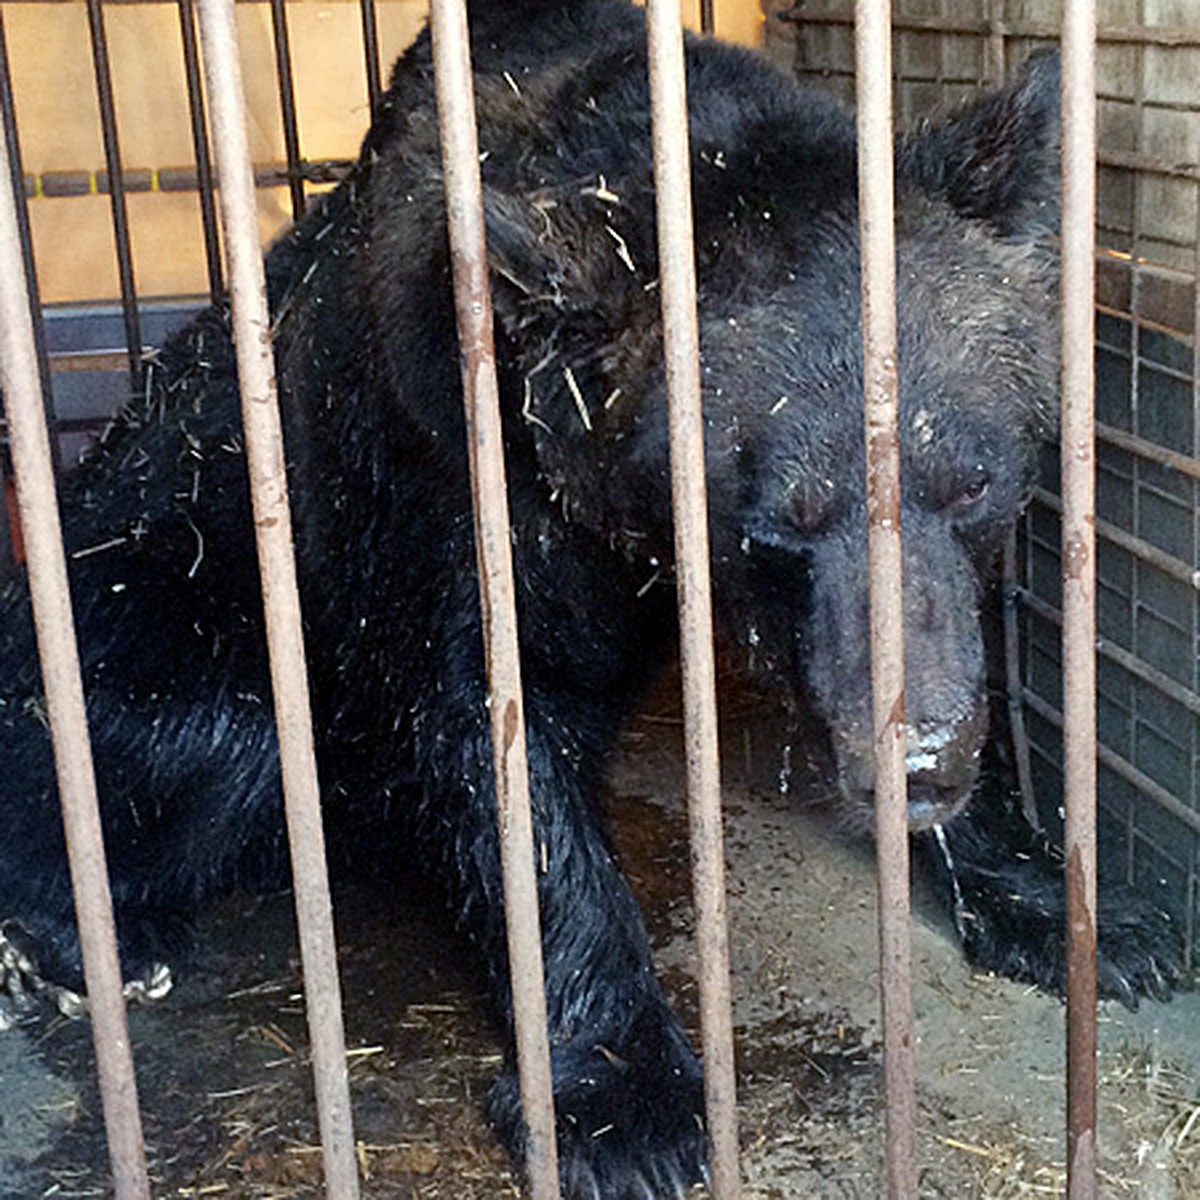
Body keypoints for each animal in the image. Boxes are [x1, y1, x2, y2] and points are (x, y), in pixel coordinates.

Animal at [0, 0, 1185, 1195]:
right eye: (772, 522)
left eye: (974, 479)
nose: (916, 771)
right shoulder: (448, 460)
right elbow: (491, 734)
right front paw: (627, 1104)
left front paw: (1082, 914)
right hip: (158, 597)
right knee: (200, 730)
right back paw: (91, 948)